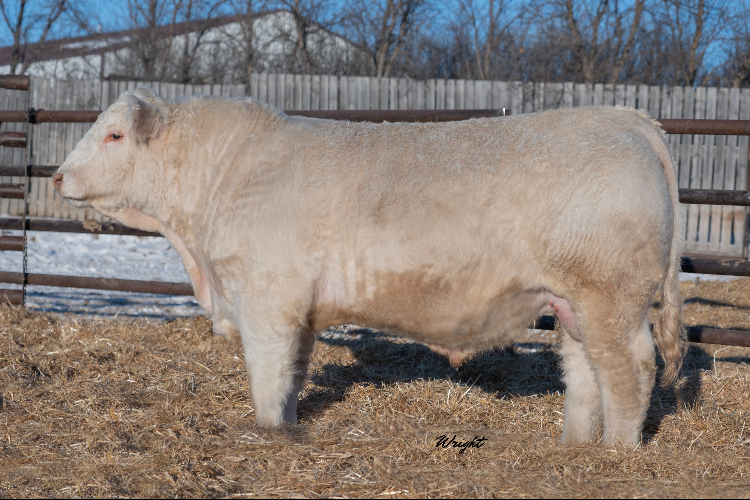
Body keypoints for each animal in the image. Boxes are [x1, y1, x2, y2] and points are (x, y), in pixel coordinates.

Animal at [54, 88, 685, 445]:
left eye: (113, 135)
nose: (58, 175)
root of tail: (629, 120)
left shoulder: (266, 299)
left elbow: (267, 373)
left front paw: (267, 433)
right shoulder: (300, 310)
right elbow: (293, 374)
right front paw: (289, 425)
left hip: (612, 296)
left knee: (631, 370)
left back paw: (617, 453)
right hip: (572, 302)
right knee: (585, 374)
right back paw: (574, 445)